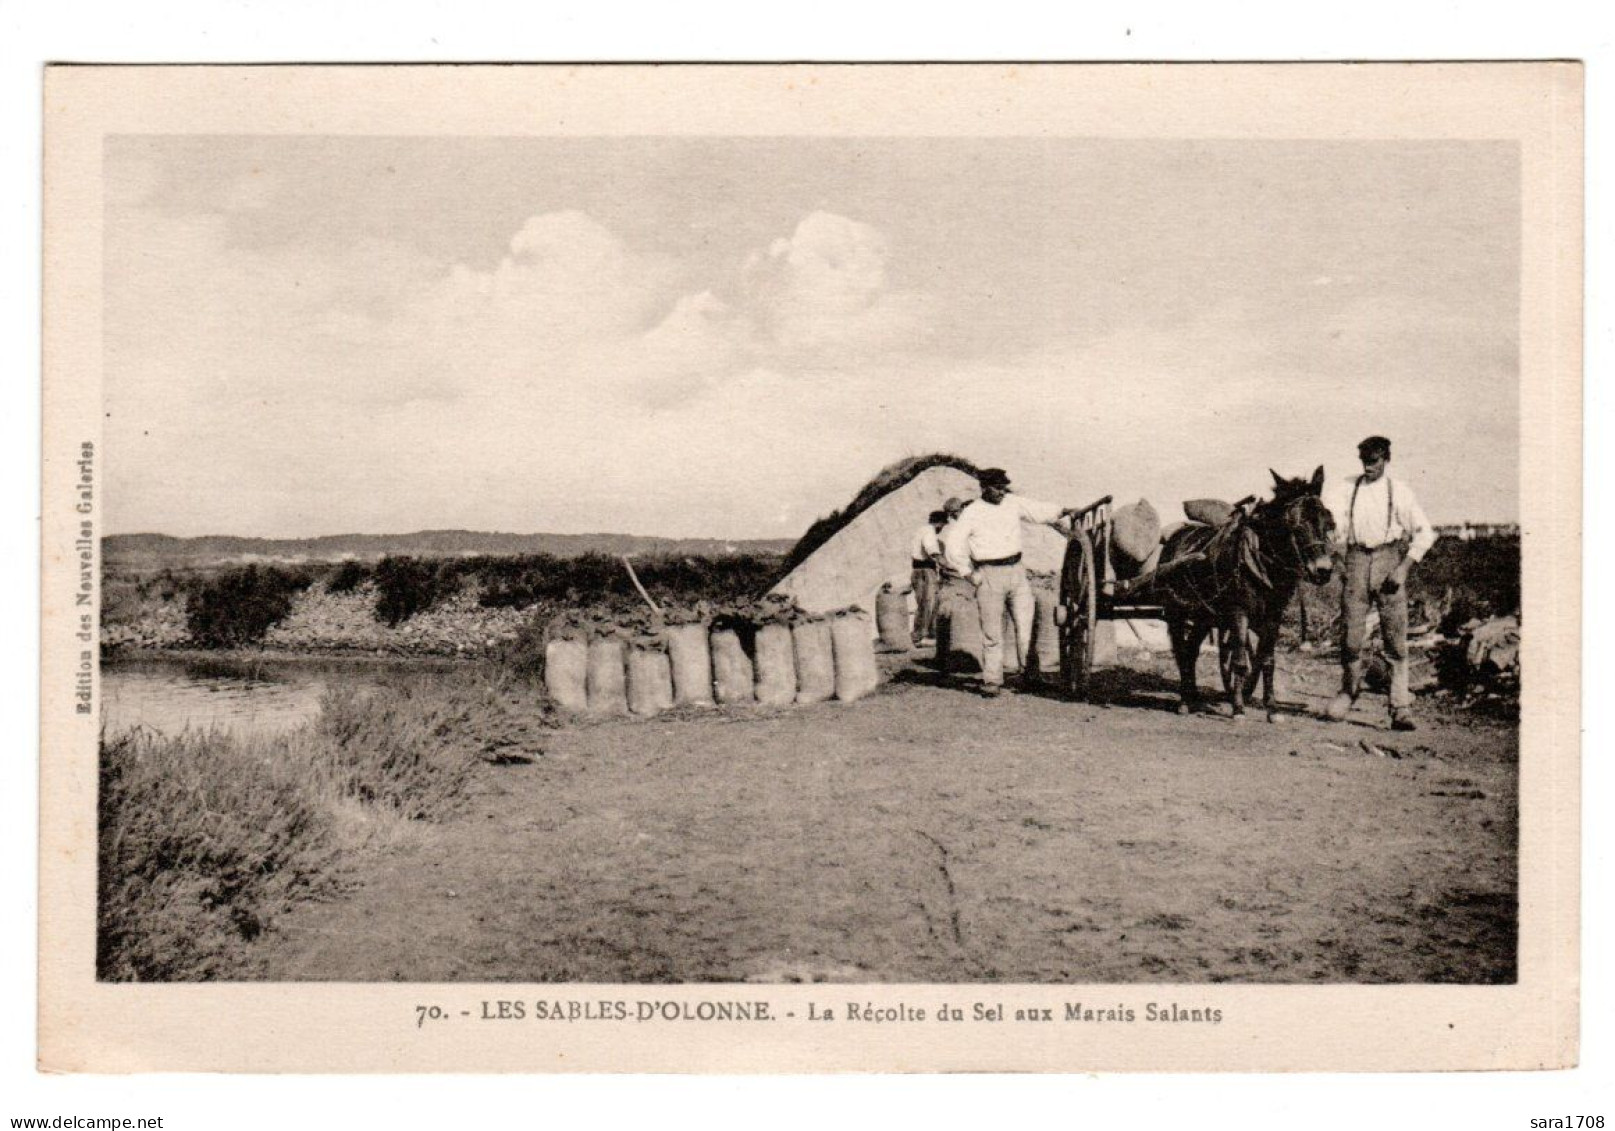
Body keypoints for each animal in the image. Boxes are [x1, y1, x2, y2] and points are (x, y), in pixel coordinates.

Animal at [1156, 465, 1343, 714]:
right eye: (1296, 524)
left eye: (1328, 522)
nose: (1322, 570)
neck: (1261, 561)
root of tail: (1176, 538)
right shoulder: (1238, 611)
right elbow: (1239, 661)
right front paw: (1238, 708)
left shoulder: (1274, 614)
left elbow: (1267, 660)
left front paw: (1271, 707)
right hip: (1176, 612)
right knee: (1181, 651)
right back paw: (1185, 700)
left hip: (1203, 615)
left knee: (1192, 649)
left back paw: (1192, 696)